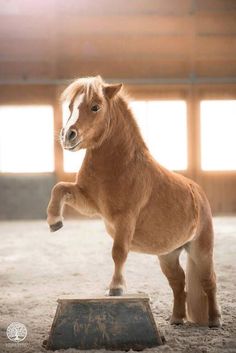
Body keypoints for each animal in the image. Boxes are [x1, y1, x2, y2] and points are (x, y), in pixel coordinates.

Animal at [47, 75, 221, 326]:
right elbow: (59, 188)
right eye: (70, 106)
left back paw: (215, 320)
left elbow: (118, 251)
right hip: (168, 255)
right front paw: (54, 221)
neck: (119, 165)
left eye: (95, 107)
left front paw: (116, 288)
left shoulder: (125, 218)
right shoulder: (90, 204)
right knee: (178, 282)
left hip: (201, 250)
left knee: (209, 281)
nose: (68, 136)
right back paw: (176, 318)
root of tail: (198, 192)